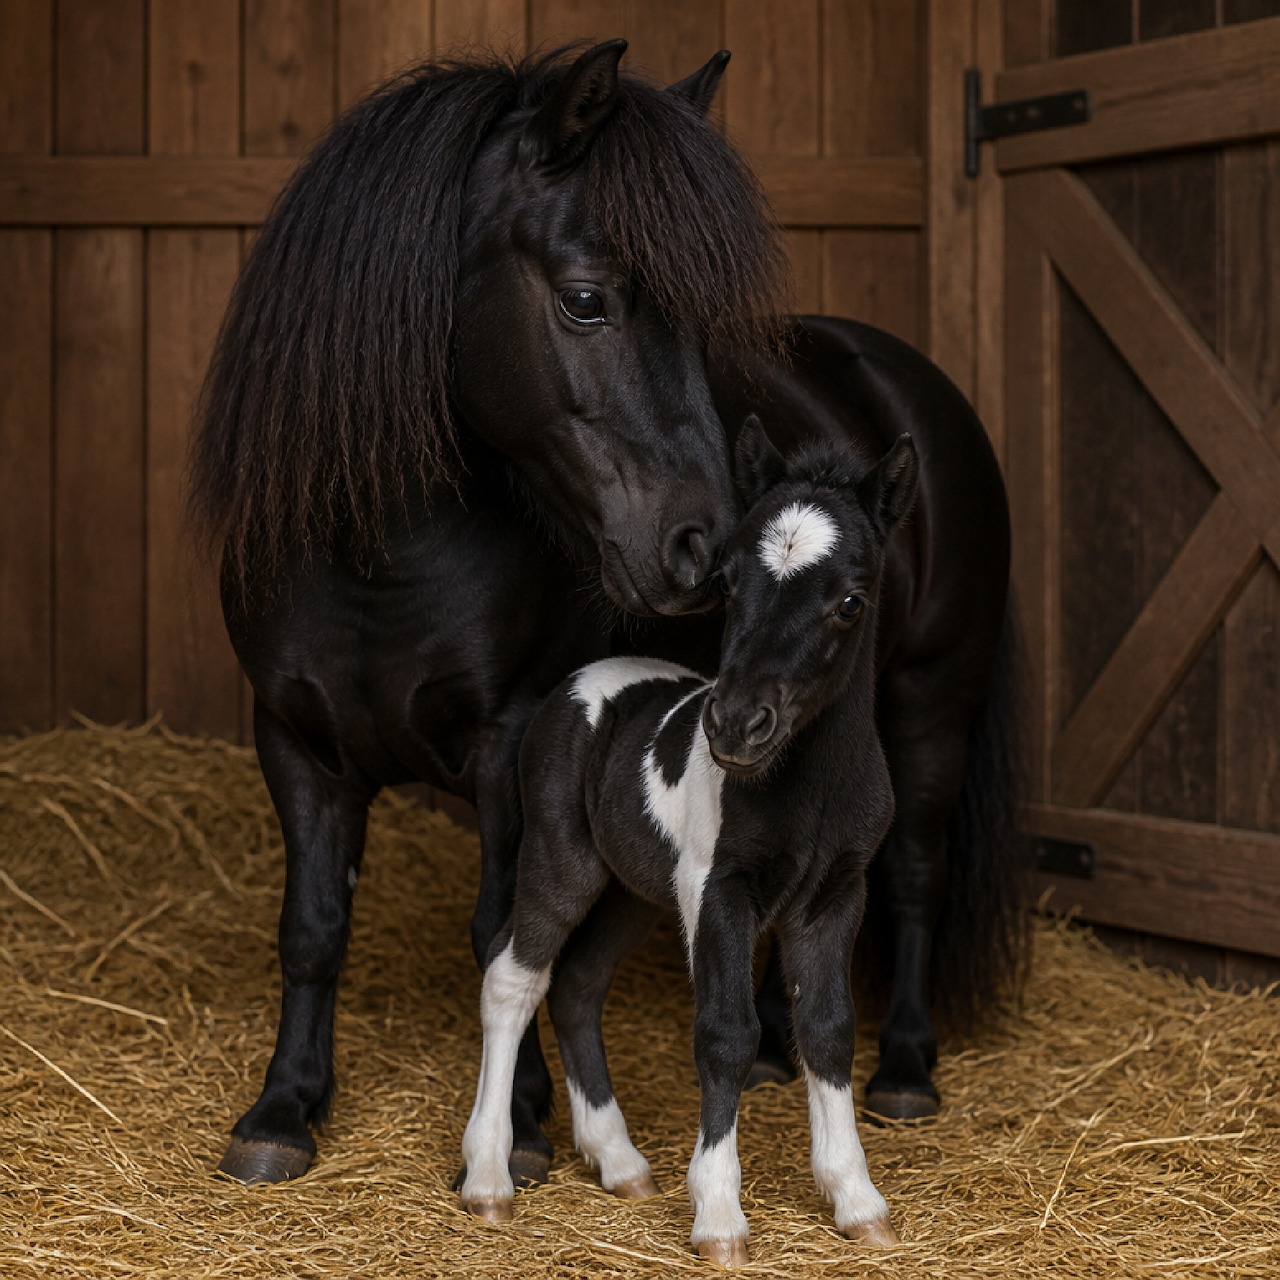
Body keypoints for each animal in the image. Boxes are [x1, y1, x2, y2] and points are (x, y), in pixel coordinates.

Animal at [460, 420, 914, 1265]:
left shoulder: (836, 895)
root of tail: (575, 685)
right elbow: (728, 1034)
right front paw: (719, 1218)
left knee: (578, 986)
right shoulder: (718, 891)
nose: (734, 727)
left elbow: (828, 1029)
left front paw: (857, 1200)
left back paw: (619, 1161)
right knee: (513, 978)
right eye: (728, 583)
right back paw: (489, 1179)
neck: (810, 787)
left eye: (849, 600)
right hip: (562, 863)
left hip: (632, 893)